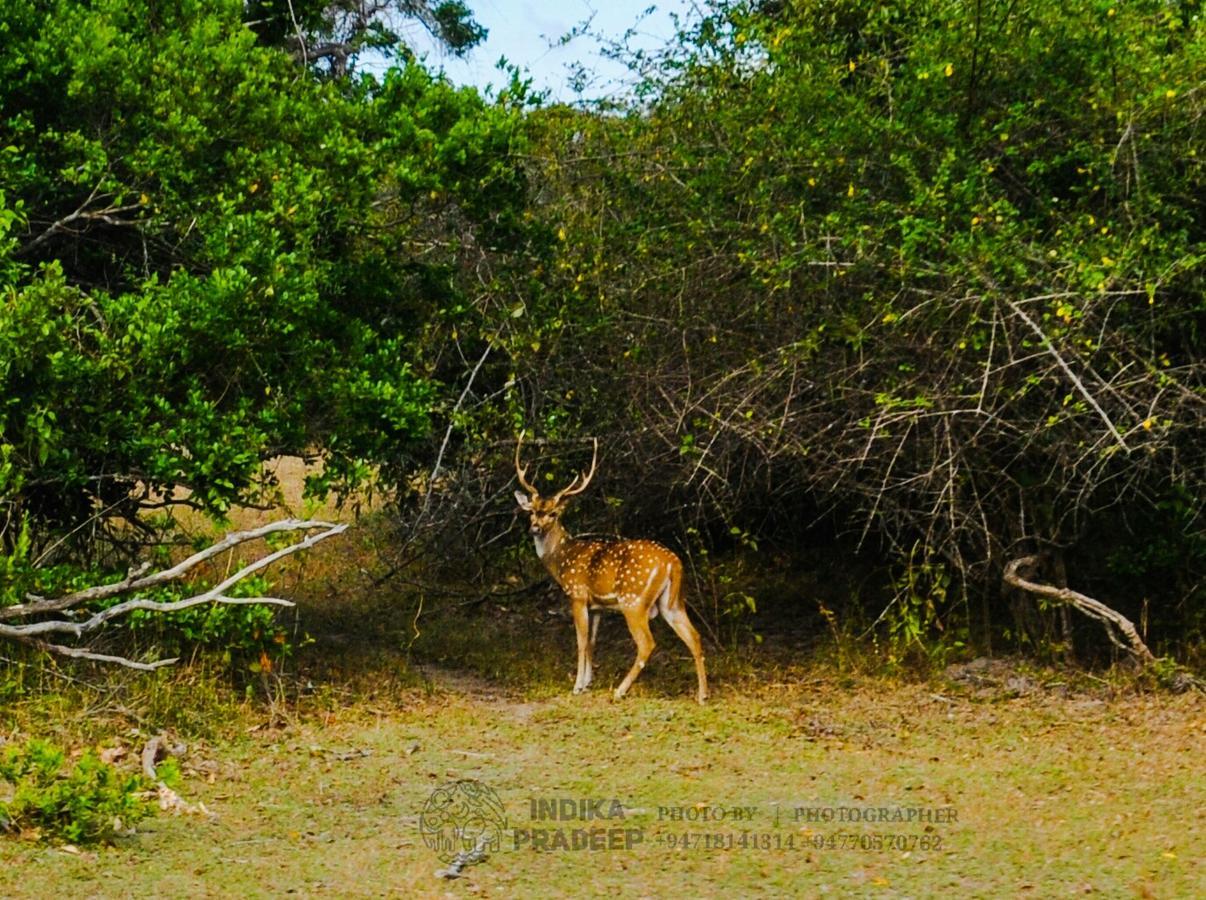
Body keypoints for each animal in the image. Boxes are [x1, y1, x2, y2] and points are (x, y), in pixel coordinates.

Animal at [516, 431, 704, 699]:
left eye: (553, 513)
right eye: (531, 511)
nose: (534, 528)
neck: (562, 559)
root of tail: (673, 563)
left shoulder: (577, 595)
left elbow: (581, 641)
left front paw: (577, 686)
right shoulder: (597, 606)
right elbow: (592, 642)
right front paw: (587, 682)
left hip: (634, 600)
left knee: (647, 643)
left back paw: (620, 690)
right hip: (673, 602)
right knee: (694, 636)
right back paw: (702, 695)